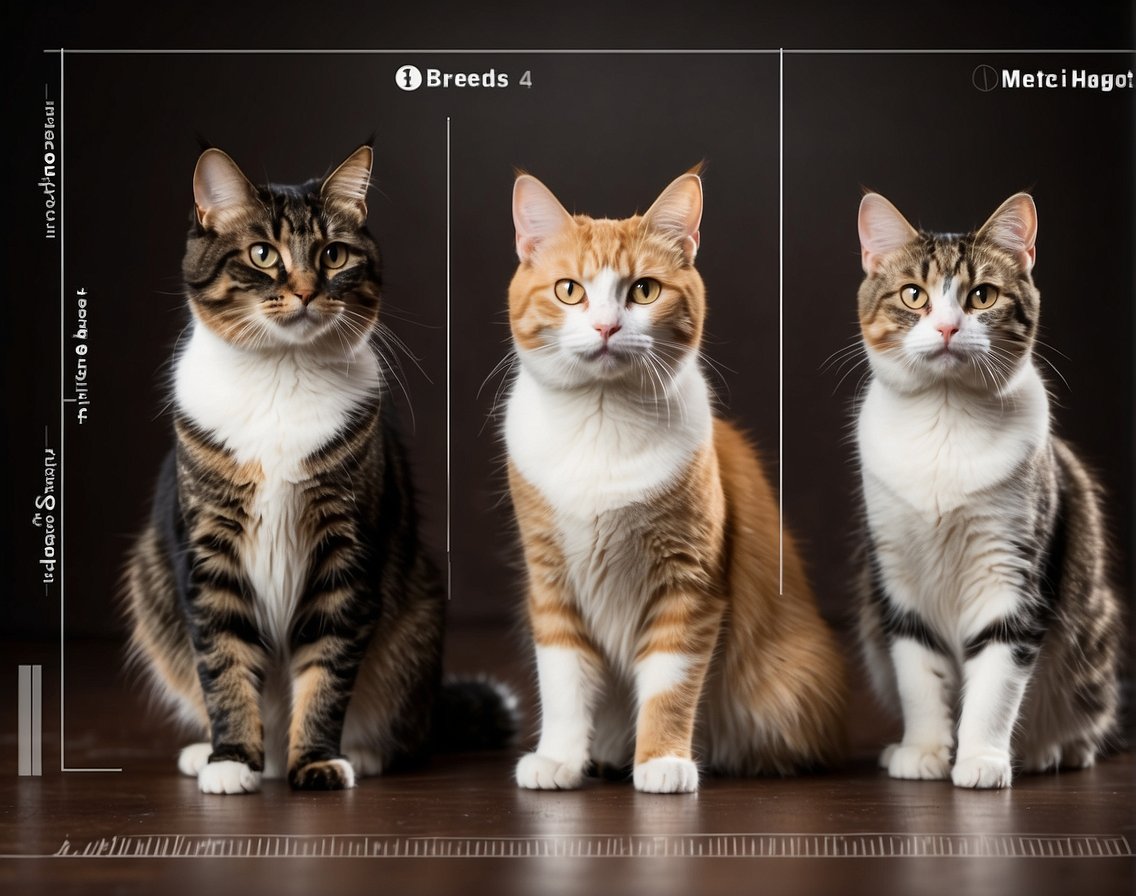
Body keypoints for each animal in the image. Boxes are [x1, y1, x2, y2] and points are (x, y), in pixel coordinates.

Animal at [126, 148, 513, 794]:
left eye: (334, 255)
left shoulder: (348, 550)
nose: (307, 291)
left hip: (416, 613)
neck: (281, 375)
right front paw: (230, 760)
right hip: (150, 582)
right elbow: (223, 661)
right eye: (263, 254)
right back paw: (213, 754)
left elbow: (327, 670)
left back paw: (357, 753)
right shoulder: (210, 549)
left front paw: (317, 761)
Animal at [504, 171, 845, 794]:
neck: (601, 420)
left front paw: (662, 761)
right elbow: (563, 681)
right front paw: (559, 758)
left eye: (643, 291)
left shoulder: (689, 582)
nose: (606, 326)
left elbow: (671, 685)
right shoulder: (551, 580)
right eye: (569, 290)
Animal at [854, 190, 1122, 790]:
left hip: (1090, 637)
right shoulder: (898, 573)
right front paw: (924, 751)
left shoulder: (1012, 567)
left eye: (982, 296)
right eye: (914, 294)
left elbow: (997, 677)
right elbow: (918, 671)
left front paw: (980, 759)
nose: (949, 328)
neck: (945, 416)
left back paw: (1052, 749)